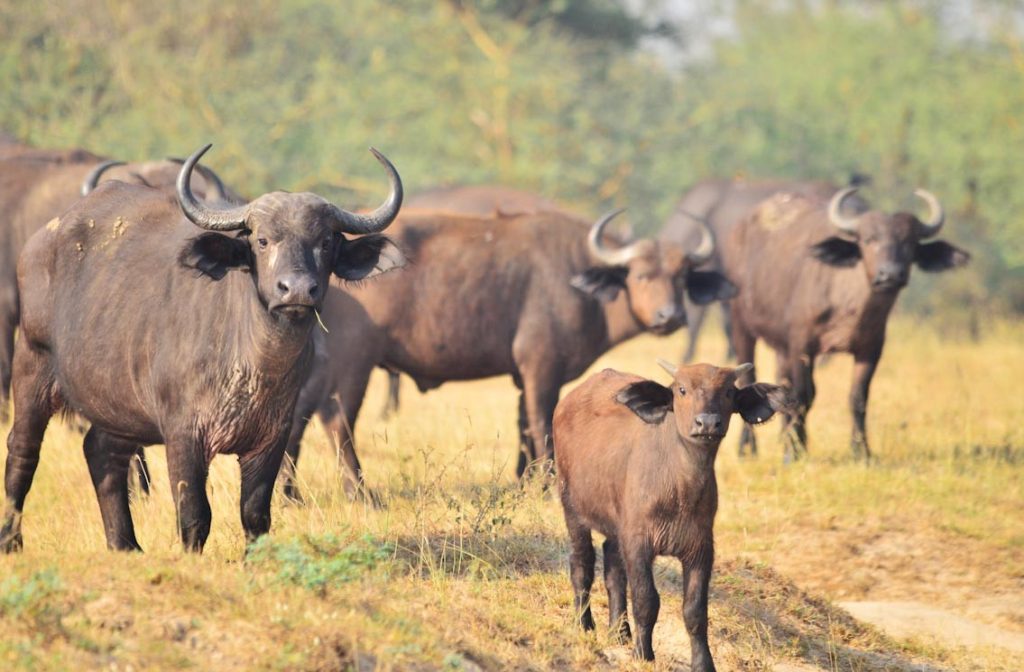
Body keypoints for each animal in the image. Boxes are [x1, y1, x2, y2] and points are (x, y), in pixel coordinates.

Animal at [0, 145, 404, 553]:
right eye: (262, 240)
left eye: (325, 242)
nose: (298, 290)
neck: (254, 365)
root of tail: (41, 241)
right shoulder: (183, 435)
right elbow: (194, 514)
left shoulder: (273, 437)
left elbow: (255, 514)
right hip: (32, 362)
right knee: (22, 450)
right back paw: (11, 540)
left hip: (117, 404)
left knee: (101, 452)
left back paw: (124, 544)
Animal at [279, 208, 736, 501]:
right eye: (639, 274)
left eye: (681, 276)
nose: (670, 316)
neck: (576, 279)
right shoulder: (541, 368)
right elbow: (540, 423)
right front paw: (548, 485)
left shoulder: (521, 375)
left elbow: (522, 428)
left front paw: (522, 482)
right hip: (355, 360)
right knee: (337, 419)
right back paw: (357, 492)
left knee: (298, 414)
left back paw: (290, 493)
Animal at [553, 360, 788, 665]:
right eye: (682, 390)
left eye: (727, 392)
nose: (707, 423)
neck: (679, 491)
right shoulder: (639, 542)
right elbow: (646, 599)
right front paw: (643, 653)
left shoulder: (700, 548)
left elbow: (695, 610)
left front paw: (703, 662)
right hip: (572, 508)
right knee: (581, 565)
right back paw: (584, 624)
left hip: (616, 526)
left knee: (613, 569)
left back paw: (619, 631)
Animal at [726, 187, 969, 459]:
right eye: (868, 240)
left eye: (909, 243)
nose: (890, 274)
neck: (849, 309)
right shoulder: (802, 346)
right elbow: (803, 396)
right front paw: (796, 450)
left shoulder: (870, 350)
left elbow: (858, 397)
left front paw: (861, 450)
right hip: (741, 326)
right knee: (749, 380)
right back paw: (748, 448)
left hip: (781, 346)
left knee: (781, 382)